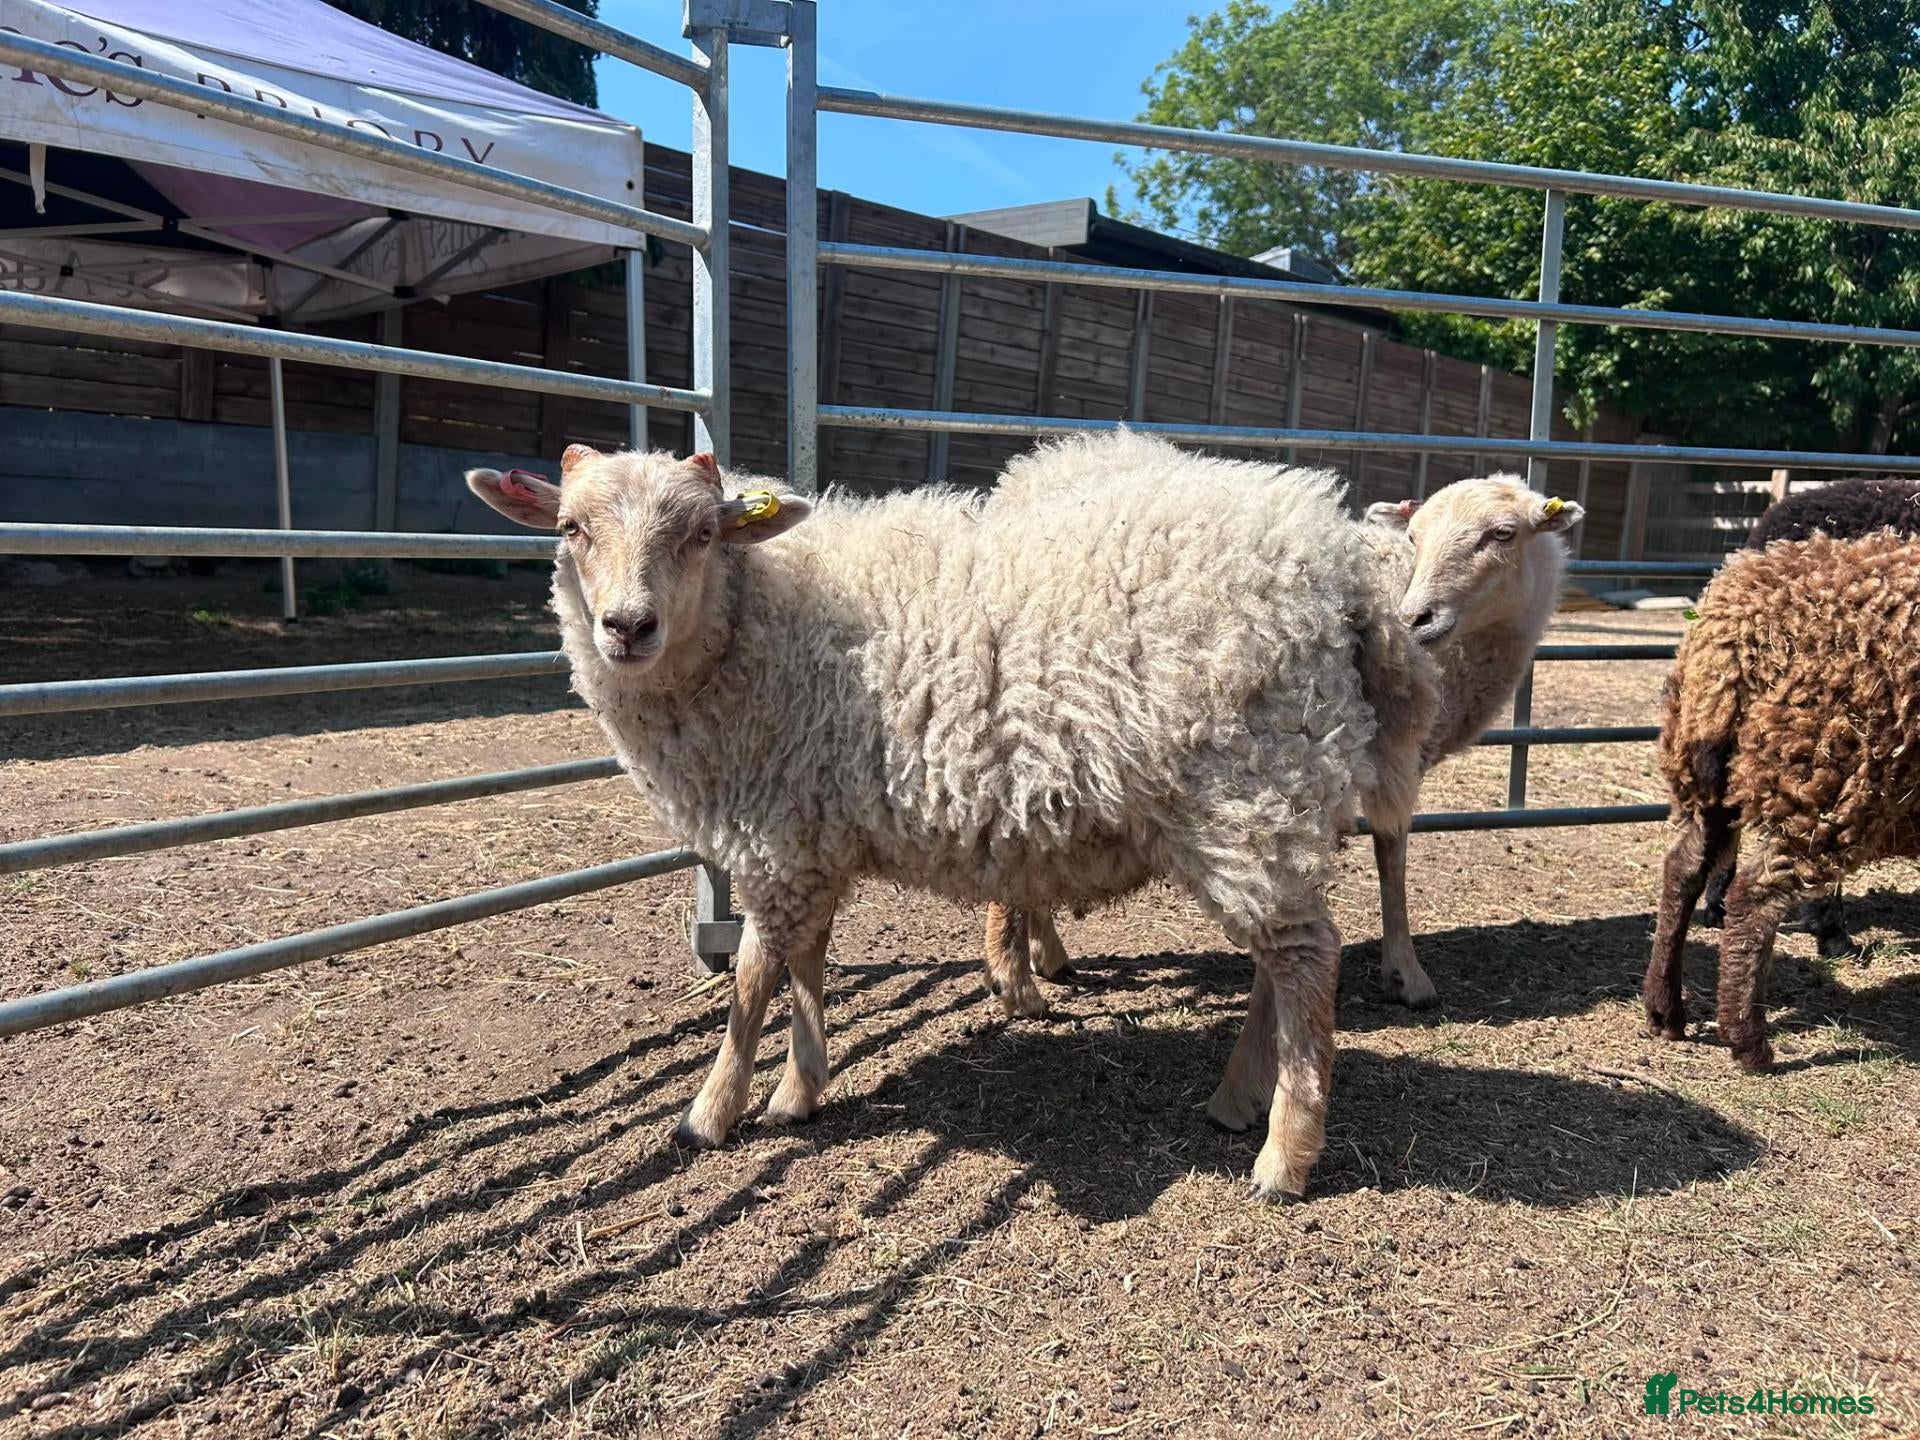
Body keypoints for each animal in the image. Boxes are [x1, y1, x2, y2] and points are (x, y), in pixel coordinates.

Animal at [465, 429, 1438, 1200]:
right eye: (571, 528)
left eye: (702, 533)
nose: (627, 627)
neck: (756, 628)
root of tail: (1332, 562)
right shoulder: (811, 836)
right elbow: (807, 967)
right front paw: (799, 1091)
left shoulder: (776, 836)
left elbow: (748, 980)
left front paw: (709, 1113)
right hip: (1272, 801)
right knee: (1281, 959)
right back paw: (1237, 1101)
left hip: (1247, 789)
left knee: (1307, 960)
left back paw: (1284, 1155)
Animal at [981, 473, 1584, 1015]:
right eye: (1416, 536)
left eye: (1502, 533)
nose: (1417, 618)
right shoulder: (1392, 753)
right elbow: (1390, 853)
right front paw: (1406, 974)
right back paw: (1017, 980)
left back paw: (1046, 956)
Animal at [1644, 529, 1920, 1070]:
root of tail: (1738, 633)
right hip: (1830, 783)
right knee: (1754, 897)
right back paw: (1749, 1043)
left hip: (1706, 767)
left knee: (1684, 868)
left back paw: (1666, 1012)